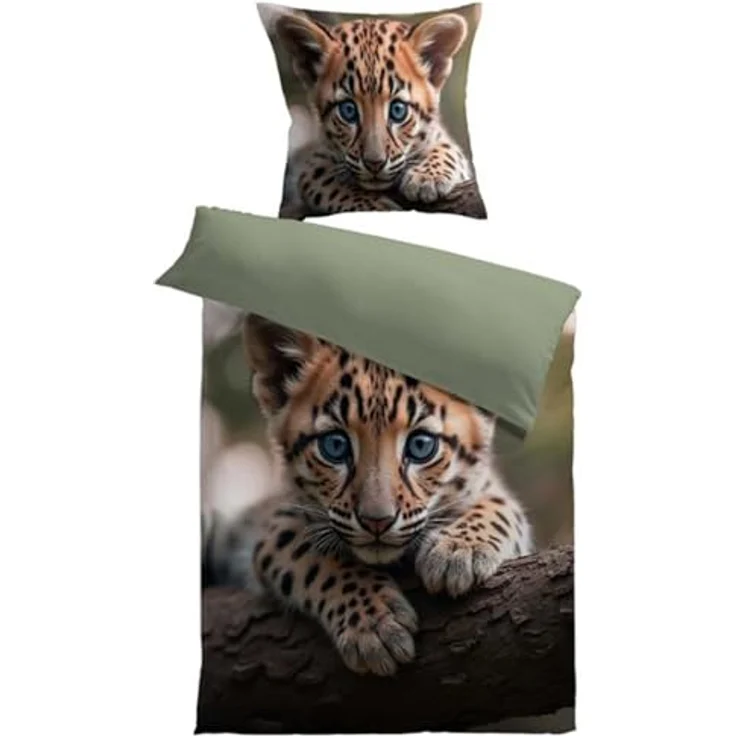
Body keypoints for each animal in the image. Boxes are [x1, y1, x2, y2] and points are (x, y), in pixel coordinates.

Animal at [203, 314, 533, 676]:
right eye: (334, 446)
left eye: (421, 446)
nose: (377, 521)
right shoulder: (279, 525)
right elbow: (319, 558)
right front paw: (375, 624)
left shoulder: (492, 491)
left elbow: (500, 507)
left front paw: (459, 551)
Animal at [272, 9, 475, 217]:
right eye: (348, 110)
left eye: (398, 110)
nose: (374, 164)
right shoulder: (314, 163)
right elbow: (325, 182)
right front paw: (375, 206)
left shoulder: (442, 139)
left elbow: (447, 151)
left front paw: (426, 178)